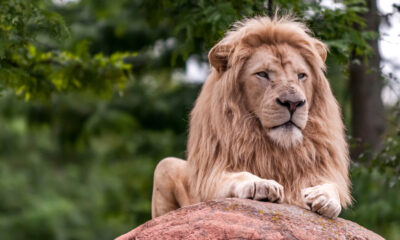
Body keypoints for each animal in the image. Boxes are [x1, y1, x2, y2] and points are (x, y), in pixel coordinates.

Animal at [152, 15, 352, 219]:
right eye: (262, 74)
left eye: (301, 75)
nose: (293, 103)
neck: (278, 149)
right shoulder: (207, 179)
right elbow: (236, 175)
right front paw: (262, 184)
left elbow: (331, 186)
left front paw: (324, 197)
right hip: (165, 166)